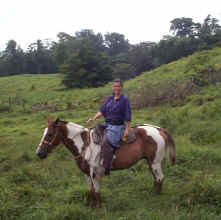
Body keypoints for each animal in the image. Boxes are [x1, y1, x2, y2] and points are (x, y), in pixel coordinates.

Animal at [35, 117, 174, 208]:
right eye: (43, 133)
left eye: (50, 134)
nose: (39, 153)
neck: (84, 145)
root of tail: (158, 129)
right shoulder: (86, 174)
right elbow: (90, 190)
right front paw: (91, 206)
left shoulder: (96, 173)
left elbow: (97, 191)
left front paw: (98, 207)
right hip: (150, 162)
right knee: (156, 178)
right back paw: (153, 193)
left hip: (155, 162)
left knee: (160, 178)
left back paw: (157, 197)